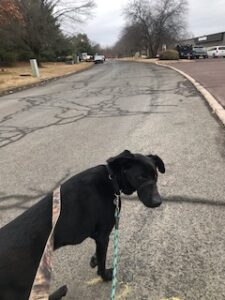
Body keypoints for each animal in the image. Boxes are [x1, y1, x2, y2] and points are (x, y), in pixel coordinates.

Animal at [0, 150, 164, 300]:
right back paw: (60, 292)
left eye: (156, 176)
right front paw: (105, 275)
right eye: (141, 177)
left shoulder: (98, 236)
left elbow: (98, 253)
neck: (111, 179)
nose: (158, 202)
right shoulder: (103, 235)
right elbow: (102, 260)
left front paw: (94, 259)